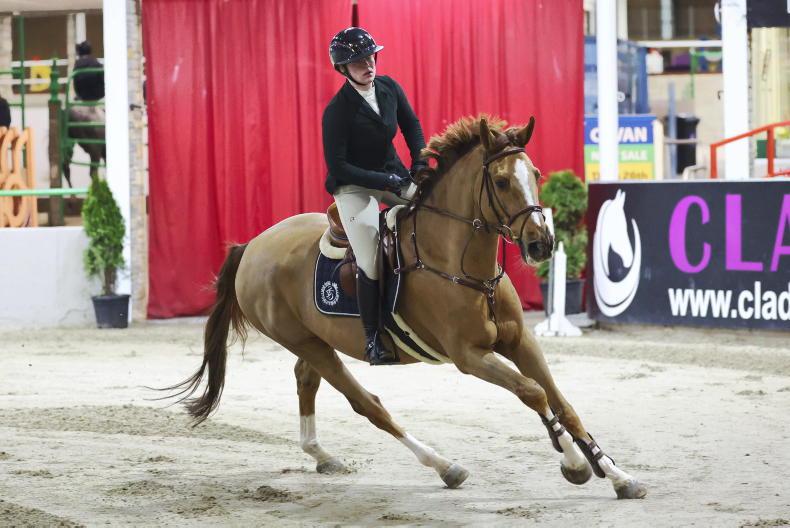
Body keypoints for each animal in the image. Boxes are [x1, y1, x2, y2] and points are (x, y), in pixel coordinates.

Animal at [166, 115, 647, 500]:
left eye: (537, 173)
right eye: (502, 181)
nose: (541, 245)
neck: (461, 263)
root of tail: (252, 246)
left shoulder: (521, 341)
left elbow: (561, 402)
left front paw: (618, 475)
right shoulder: (468, 356)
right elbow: (533, 393)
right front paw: (574, 464)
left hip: (313, 341)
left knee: (307, 380)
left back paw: (322, 455)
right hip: (304, 340)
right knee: (368, 404)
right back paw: (445, 466)